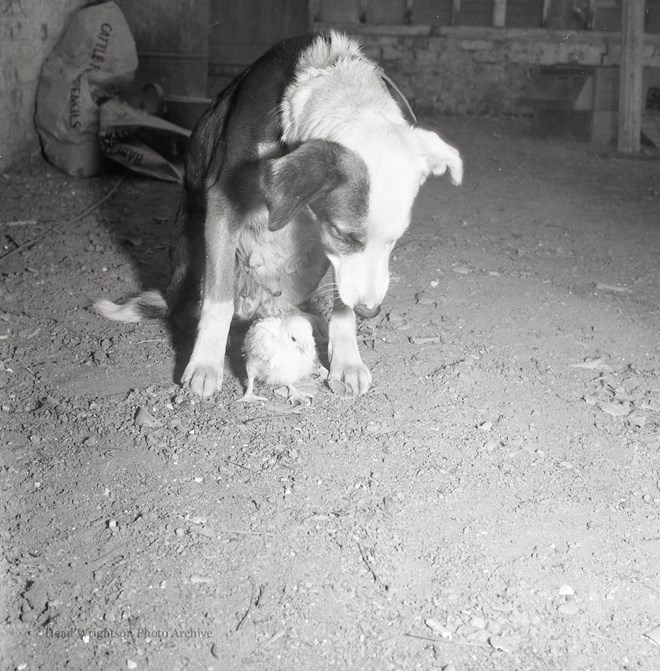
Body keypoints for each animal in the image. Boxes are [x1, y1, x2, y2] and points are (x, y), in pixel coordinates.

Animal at [95, 31, 462, 396]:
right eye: (342, 233)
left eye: (394, 241)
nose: (371, 311)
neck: (334, 81)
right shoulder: (224, 200)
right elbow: (218, 300)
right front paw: (205, 365)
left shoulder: (336, 254)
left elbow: (343, 302)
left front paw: (346, 360)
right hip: (192, 240)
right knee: (194, 311)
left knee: (278, 308)